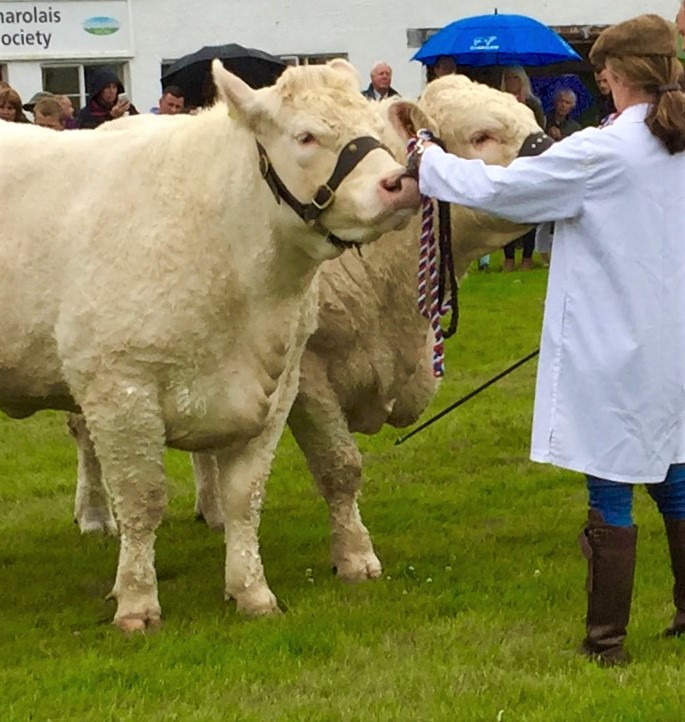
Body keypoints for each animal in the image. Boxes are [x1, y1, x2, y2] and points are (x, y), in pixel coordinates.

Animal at [0, 59, 420, 628]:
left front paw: (252, 591)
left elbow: (245, 495)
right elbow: (142, 497)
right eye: (305, 136)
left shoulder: (277, 386)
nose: (399, 183)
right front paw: (137, 603)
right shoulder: (119, 388)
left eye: (376, 130)